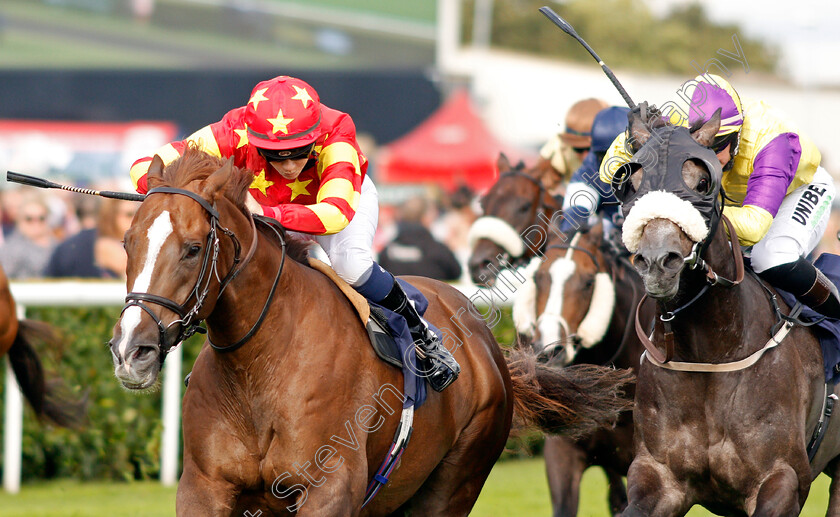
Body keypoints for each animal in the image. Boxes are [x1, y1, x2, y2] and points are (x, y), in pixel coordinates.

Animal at [612, 108, 840, 512]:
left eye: (702, 182)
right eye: (632, 183)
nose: (657, 262)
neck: (711, 354)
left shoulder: (783, 477)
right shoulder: (657, 475)